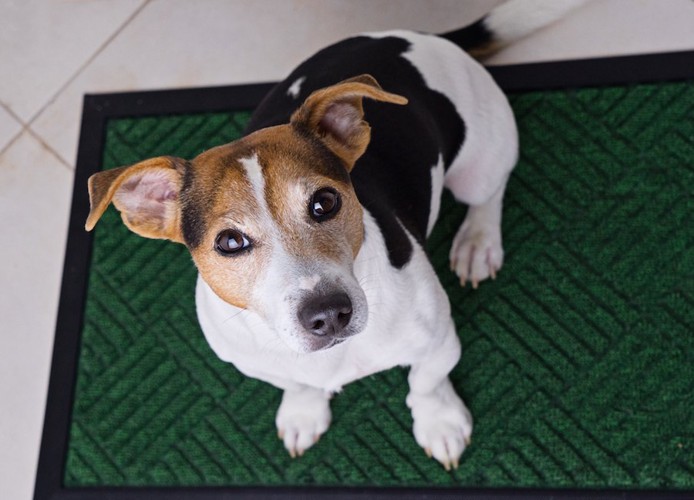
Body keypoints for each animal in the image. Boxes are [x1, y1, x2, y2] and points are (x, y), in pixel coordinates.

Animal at [84, 0, 588, 468]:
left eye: (324, 202)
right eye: (229, 242)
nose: (327, 314)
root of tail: (417, 36)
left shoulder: (438, 340)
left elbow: (425, 384)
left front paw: (440, 423)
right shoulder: (255, 361)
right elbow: (297, 384)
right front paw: (303, 413)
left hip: (480, 160)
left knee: (489, 193)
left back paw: (477, 243)